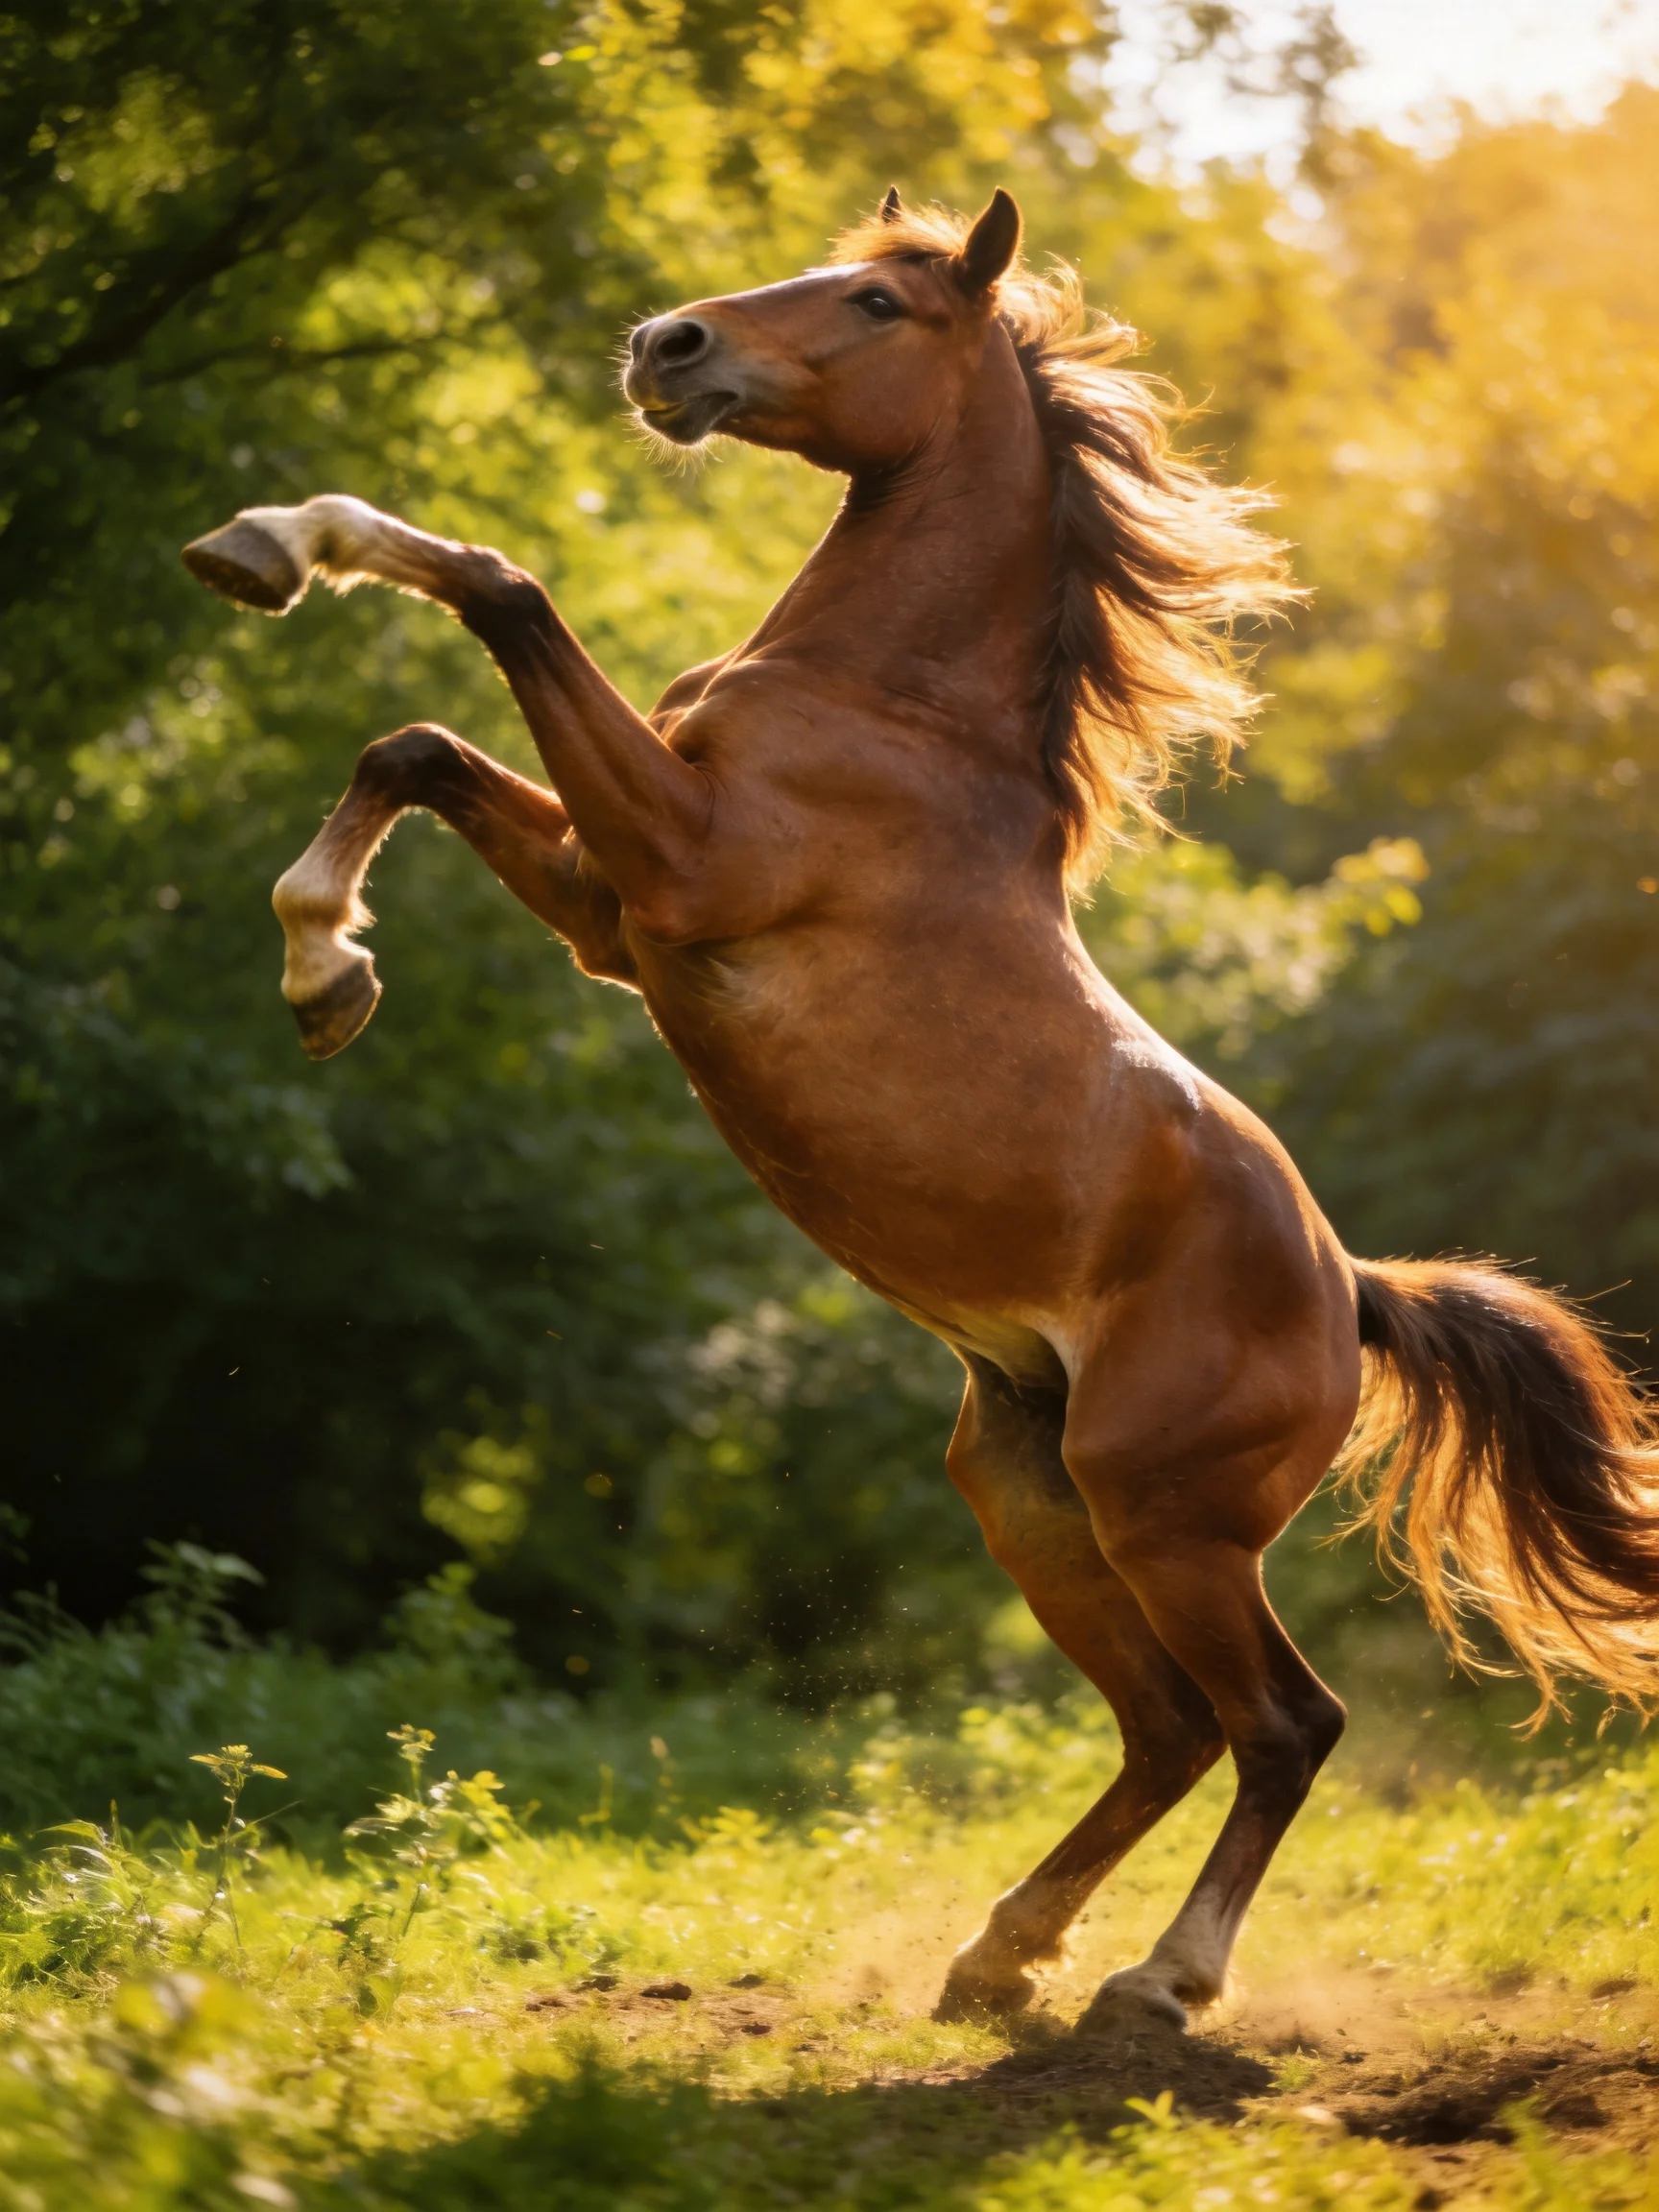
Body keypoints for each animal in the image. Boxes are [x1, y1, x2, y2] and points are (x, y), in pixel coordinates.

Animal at [181, 189, 1659, 2032]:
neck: (890, 710)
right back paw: (998, 1954)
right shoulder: (613, 907)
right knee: (1169, 1726)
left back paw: (1157, 1982)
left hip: (1167, 1515)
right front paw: (325, 950)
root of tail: (1353, 1291)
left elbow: (499, 589)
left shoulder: (681, 865)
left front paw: (279, 569)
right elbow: (418, 742)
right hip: (1032, 1496)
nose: (664, 344)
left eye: (878, 302)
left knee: (1281, 1723)